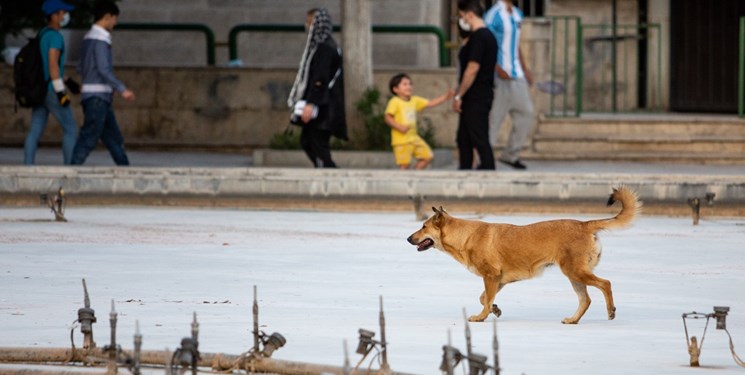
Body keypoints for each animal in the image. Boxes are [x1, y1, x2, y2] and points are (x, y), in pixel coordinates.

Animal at [406, 187, 640, 324]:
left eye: (423, 227)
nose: (408, 238)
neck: (465, 236)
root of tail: (585, 224)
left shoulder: (491, 276)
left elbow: (485, 298)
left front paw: (481, 317)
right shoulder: (498, 279)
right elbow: (485, 298)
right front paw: (495, 309)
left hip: (575, 271)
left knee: (605, 284)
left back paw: (610, 311)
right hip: (574, 275)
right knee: (586, 300)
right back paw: (573, 320)